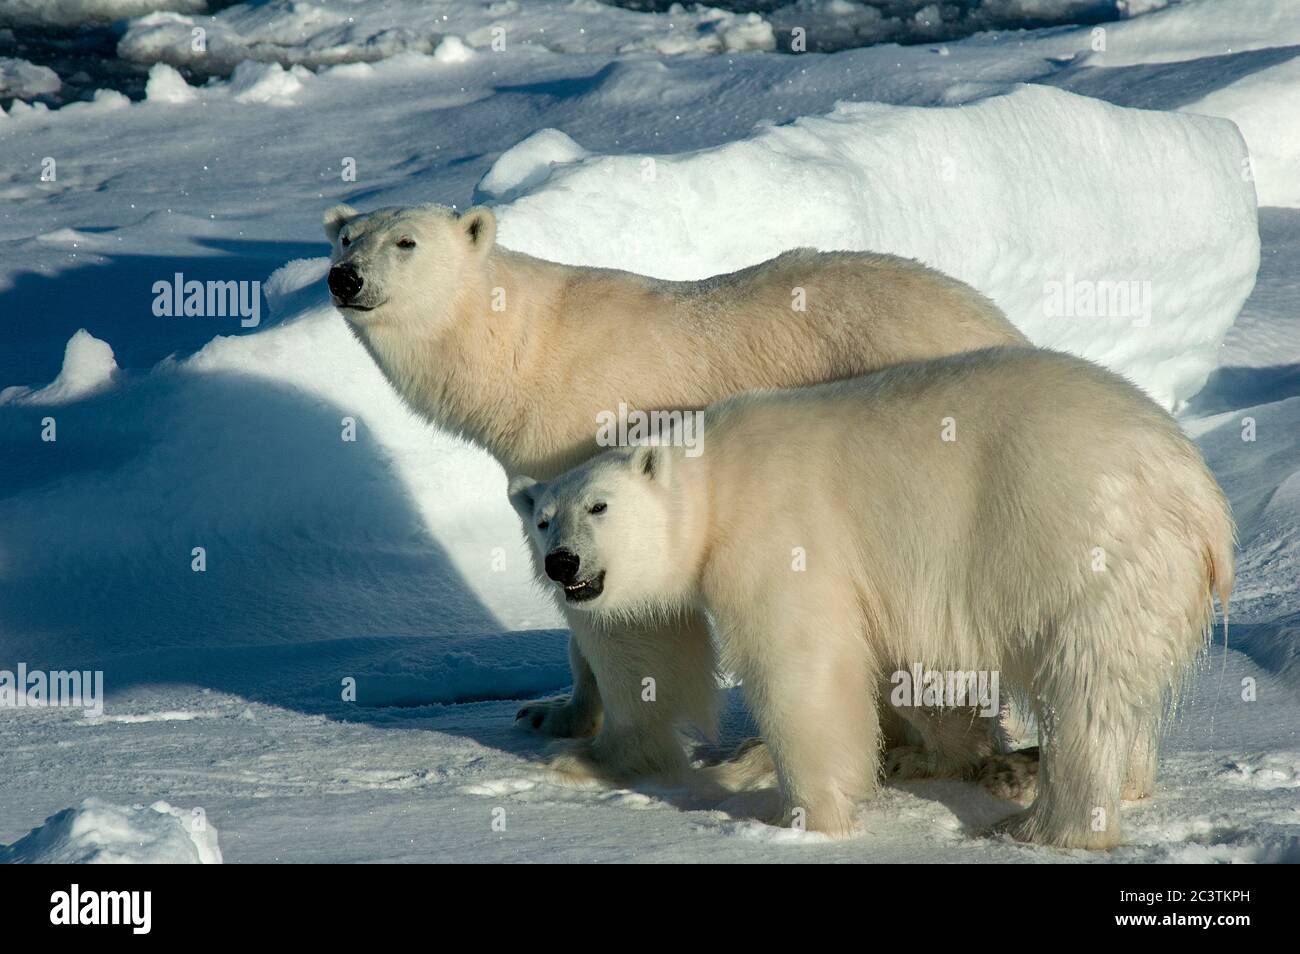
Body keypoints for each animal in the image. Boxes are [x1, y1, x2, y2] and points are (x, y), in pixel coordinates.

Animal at [322, 200, 1024, 785]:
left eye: (406, 241)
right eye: (347, 237)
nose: (344, 279)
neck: (524, 352)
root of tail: (1002, 327)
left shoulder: (589, 428)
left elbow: (628, 610)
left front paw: (602, 756)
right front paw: (553, 713)